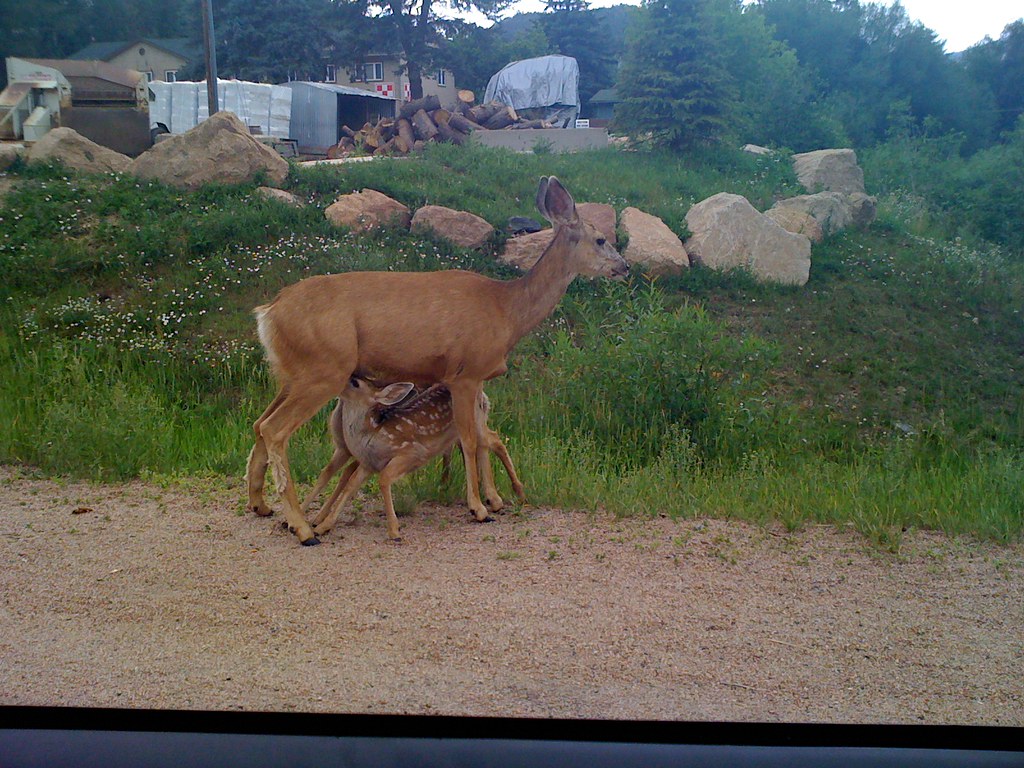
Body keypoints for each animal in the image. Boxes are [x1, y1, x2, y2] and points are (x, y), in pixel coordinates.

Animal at [302, 376, 526, 541]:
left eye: (356, 383)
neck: (372, 434)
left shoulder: (411, 452)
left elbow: (383, 479)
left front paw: (394, 531)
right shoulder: (368, 463)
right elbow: (350, 485)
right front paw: (322, 526)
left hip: (473, 423)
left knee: (492, 440)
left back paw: (513, 493)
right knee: (486, 443)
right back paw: (494, 500)